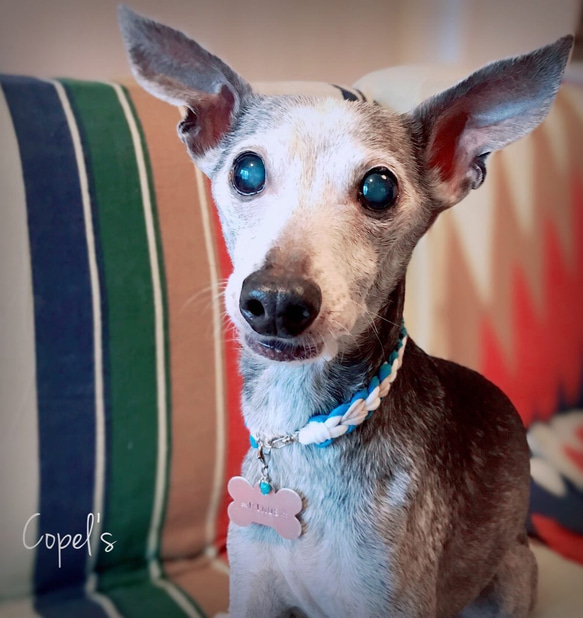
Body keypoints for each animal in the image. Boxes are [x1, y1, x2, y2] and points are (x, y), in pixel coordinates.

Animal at [120, 7, 576, 612]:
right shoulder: (253, 591)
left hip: (515, 572)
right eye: (245, 171)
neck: (298, 432)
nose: (276, 301)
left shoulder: (386, 598)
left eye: (379, 187)